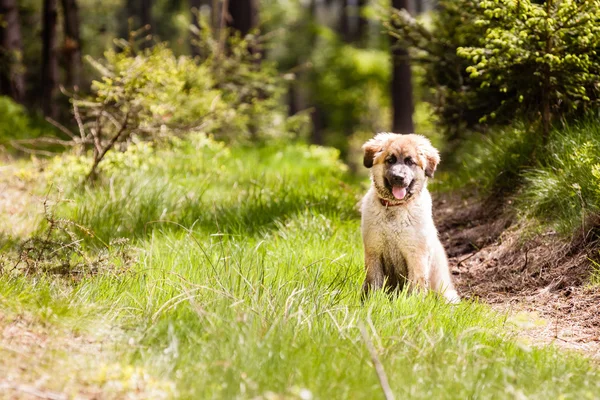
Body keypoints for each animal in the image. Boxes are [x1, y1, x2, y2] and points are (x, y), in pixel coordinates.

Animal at [360, 132, 460, 304]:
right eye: (390, 160)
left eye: (410, 162)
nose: (399, 177)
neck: (395, 208)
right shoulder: (374, 252)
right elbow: (374, 282)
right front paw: (372, 302)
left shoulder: (416, 255)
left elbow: (415, 285)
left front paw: (412, 304)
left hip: (447, 294)